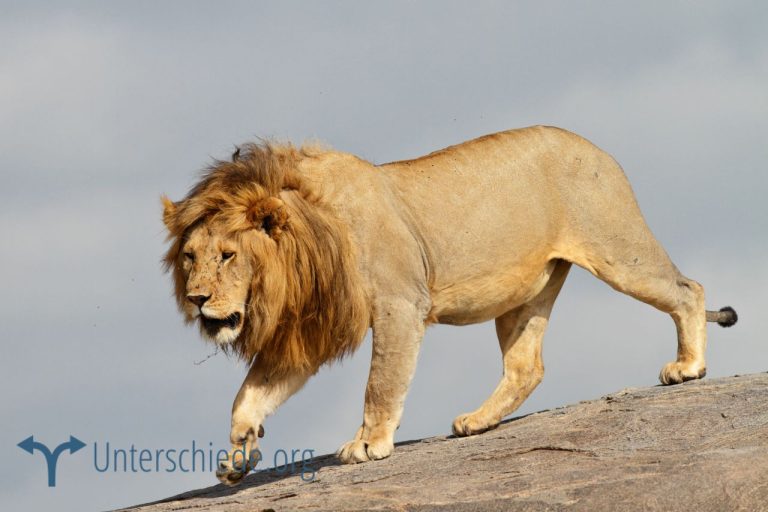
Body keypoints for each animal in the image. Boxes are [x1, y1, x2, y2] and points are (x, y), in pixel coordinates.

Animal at [161, 126, 737, 485]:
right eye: (189, 257)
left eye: (228, 255)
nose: (196, 299)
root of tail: (596, 148)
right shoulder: (307, 330)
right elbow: (249, 396)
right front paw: (238, 457)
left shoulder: (399, 303)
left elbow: (381, 384)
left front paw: (368, 445)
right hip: (524, 294)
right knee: (527, 367)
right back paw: (478, 422)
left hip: (618, 249)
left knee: (688, 290)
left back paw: (688, 367)